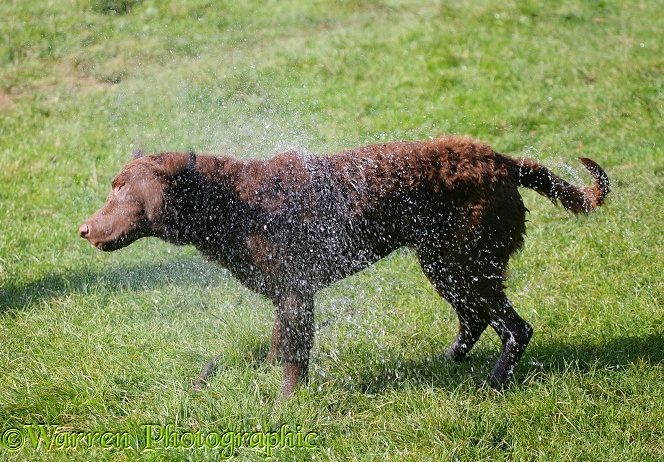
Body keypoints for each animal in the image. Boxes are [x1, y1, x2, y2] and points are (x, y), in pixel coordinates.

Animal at [78, 135, 608, 398]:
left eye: (123, 191)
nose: (82, 230)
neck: (234, 201)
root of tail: (503, 160)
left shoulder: (297, 293)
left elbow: (294, 360)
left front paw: (284, 409)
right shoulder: (285, 298)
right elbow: (277, 349)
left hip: (468, 263)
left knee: (516, 328)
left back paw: (494, 385)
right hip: (443, 263)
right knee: (476, 319)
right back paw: (446, 363)